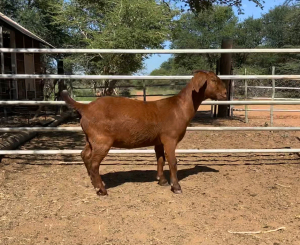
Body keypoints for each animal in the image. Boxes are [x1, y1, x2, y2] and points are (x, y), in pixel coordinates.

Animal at [62, 70, 227, 195]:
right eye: (213, 79)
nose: (225, 93)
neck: (179, 107)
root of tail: (85, 107)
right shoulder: (170, 138)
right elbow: (172, 162)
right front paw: (176, 187)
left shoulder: (159, 141)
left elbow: (160, 159)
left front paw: (162, 181)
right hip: (102, 140)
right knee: (94, 162)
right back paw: (101, 189)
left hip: (91, 138)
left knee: (84, 155)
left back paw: (94, 182)